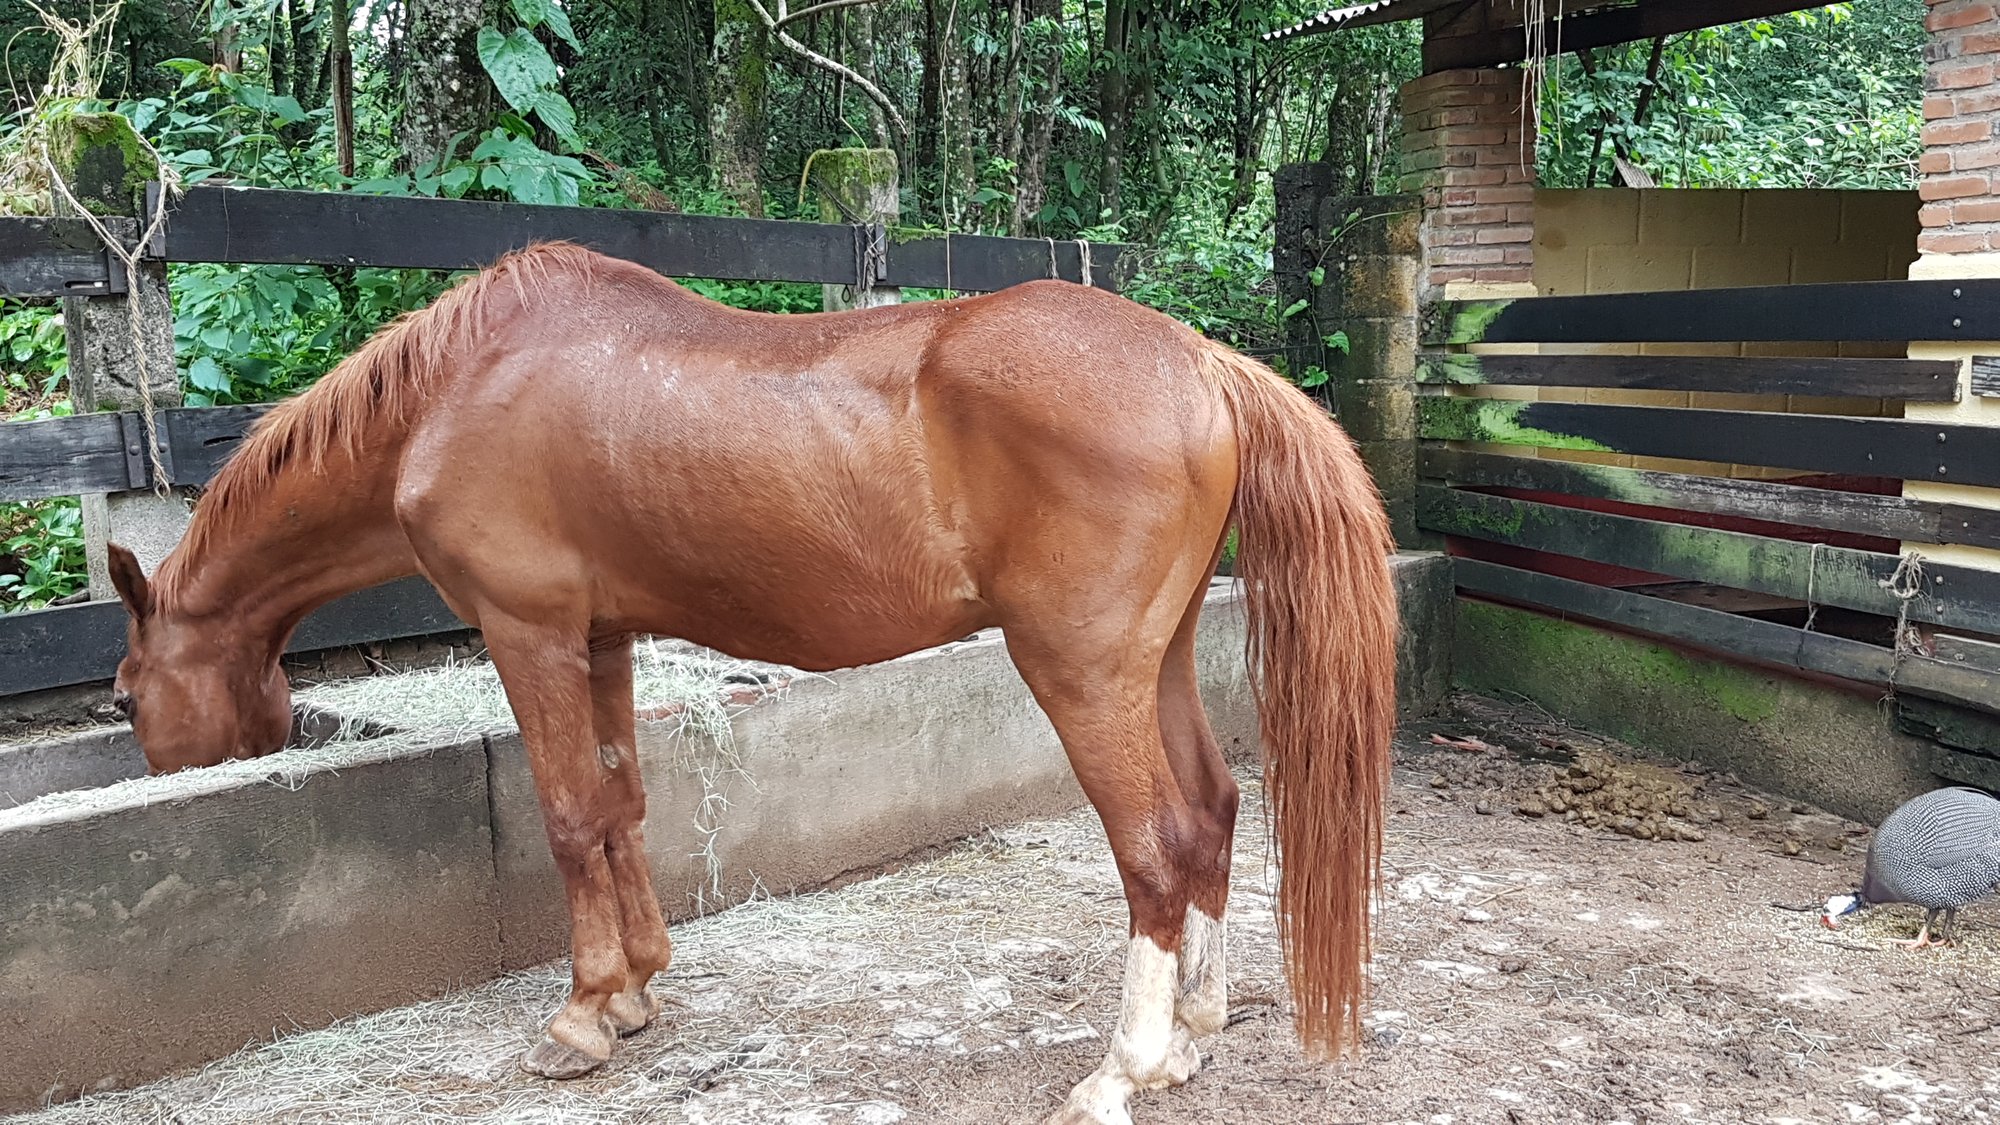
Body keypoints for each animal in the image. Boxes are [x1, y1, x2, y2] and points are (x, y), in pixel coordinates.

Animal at [103, 242, 1396, 1125]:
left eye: (122, 695)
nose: (151, 761)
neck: (459, 391)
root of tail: (1199, 362)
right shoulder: (601, 640)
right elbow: (618, 806)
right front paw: (633, 989)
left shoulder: (528, 634)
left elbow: (566, 816)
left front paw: (579, 1018)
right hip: (1154, 660)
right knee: (1213, 812)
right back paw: (1190, 1031)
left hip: (1079, 673)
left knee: (1154, 845)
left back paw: (1121, 1071)